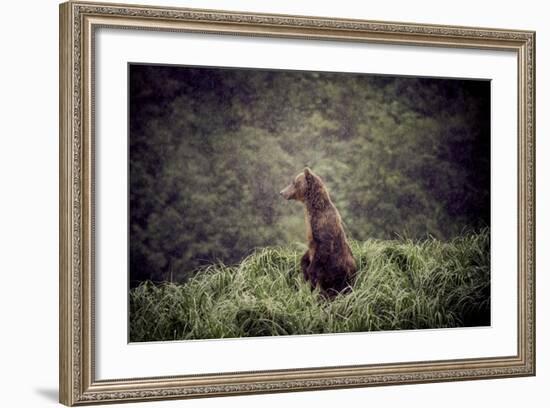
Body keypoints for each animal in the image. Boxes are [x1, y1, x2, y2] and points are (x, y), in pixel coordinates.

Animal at [280, 167, 358, 298]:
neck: (314, 209)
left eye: (293, 182)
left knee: (337, 288)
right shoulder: (311, 234)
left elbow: (322, 249)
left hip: (341, 274)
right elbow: (306, 257)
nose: (281, 192)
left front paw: (310, 274)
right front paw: (304, 267)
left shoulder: (322, 226)